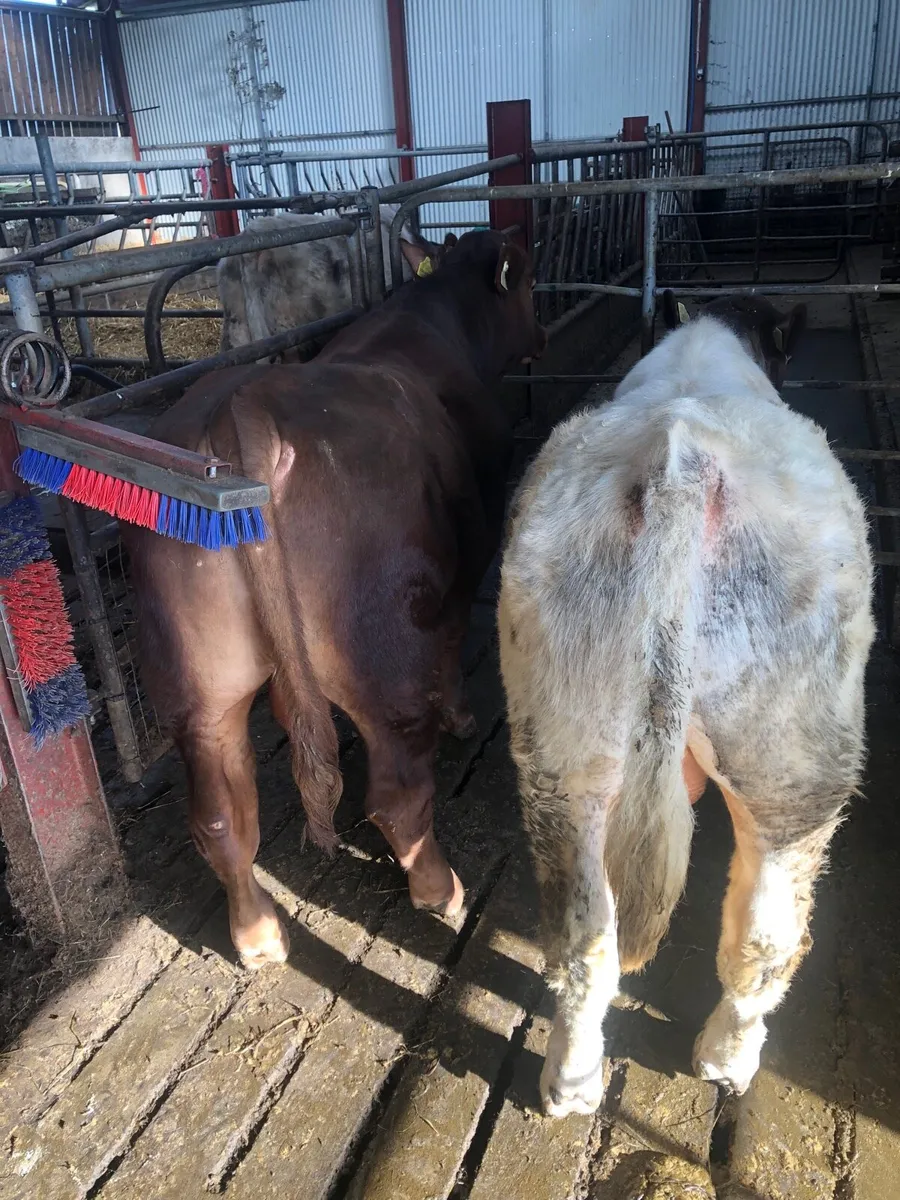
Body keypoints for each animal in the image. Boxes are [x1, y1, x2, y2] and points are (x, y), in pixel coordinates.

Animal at [125, 230, 546, 969]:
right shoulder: (467, 556)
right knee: (396, 794)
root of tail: (244, 411)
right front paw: (462, 717)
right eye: (527, 280)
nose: (542, 335)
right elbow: (452, 643)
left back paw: (258, 938)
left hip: (199, 684)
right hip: (379, 645)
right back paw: (438, 889)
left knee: (220, 815)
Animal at [498, 291, 874, 1118]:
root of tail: (682, 467)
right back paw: (727, 1061)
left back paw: (570, 1083)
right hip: (797, 753)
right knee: (764, 936)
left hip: (567, 742)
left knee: (584, 938)